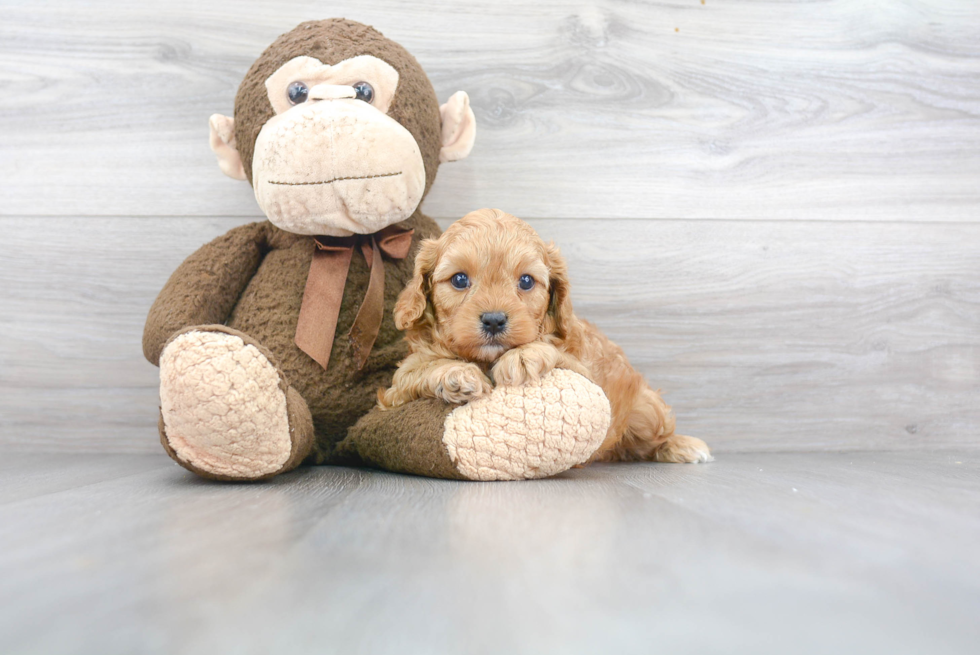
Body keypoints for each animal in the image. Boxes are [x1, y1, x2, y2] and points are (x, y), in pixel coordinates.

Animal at [378, 210, 712, 466]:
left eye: (526, 281)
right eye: (460, 279)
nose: (494, 319)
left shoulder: (587, 374)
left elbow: (557, 354)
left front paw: (524, 355)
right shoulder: (396, 389)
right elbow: (418, 371)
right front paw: (456, 374)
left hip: (647, 410)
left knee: (654, 436)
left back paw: (683, 445)